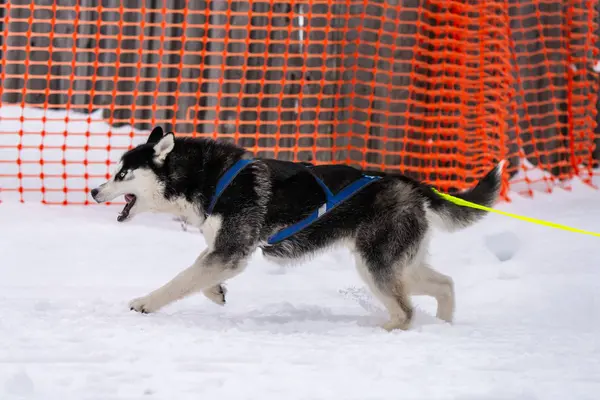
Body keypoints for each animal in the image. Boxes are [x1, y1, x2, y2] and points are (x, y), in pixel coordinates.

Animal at [91, 126, 504, 330]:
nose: (95, 190)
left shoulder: (229, 250)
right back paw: (444, 325)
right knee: (445, 284)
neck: (208, 179)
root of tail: (409, 182)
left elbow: (180, 280)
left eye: (122, 174)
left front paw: (146, 302)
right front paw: (217, 293)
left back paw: (385, 330)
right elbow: (200, 275)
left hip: (377, 265)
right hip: (398, 264)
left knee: (405, 312)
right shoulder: (226, 251)